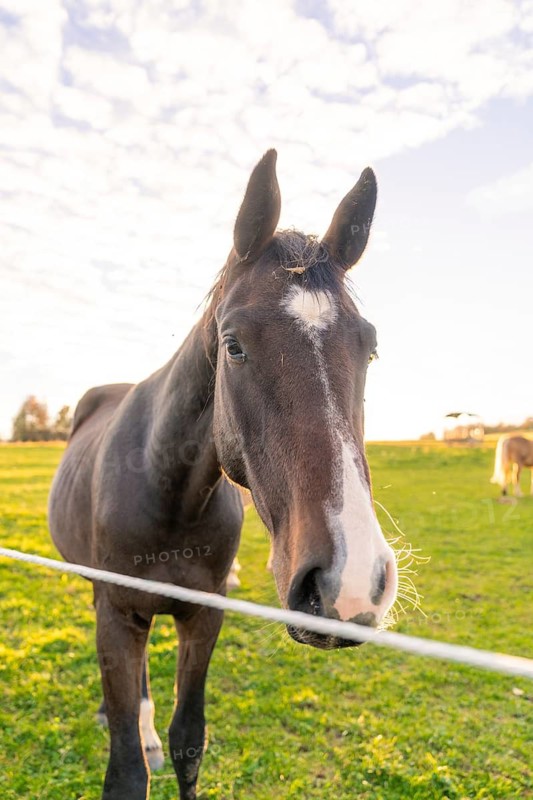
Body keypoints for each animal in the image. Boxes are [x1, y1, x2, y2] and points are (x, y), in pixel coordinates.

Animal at [48, 149, 398, 800]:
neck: (170, 496)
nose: (348, 582)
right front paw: (129, 731)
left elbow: (190, 742)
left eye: (369, 348)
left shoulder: (205, 614)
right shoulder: (119, 614)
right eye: (233, 344)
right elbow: (127, 771)